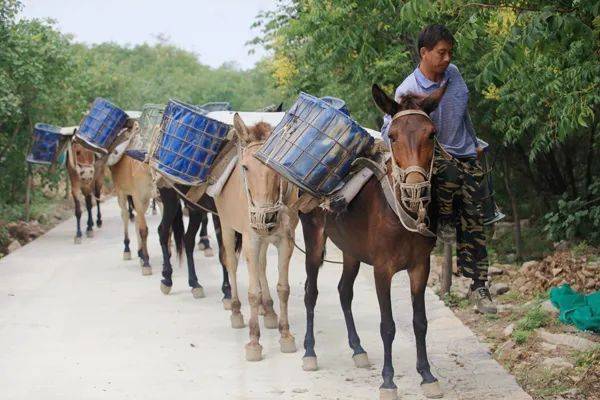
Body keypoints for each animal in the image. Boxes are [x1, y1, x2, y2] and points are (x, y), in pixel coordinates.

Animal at [300, 83, 446, 398]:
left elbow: (419, 322)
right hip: (313, 240)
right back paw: (309, 352)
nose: (415, 190)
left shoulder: (421, 267)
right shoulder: (382, 270)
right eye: (392, 136)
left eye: (432, 133)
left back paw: (357, 349)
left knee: (344, 291)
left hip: (351, 251)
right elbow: (388, 326)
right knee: (310, 292)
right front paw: (388, 381)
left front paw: (427, 375)